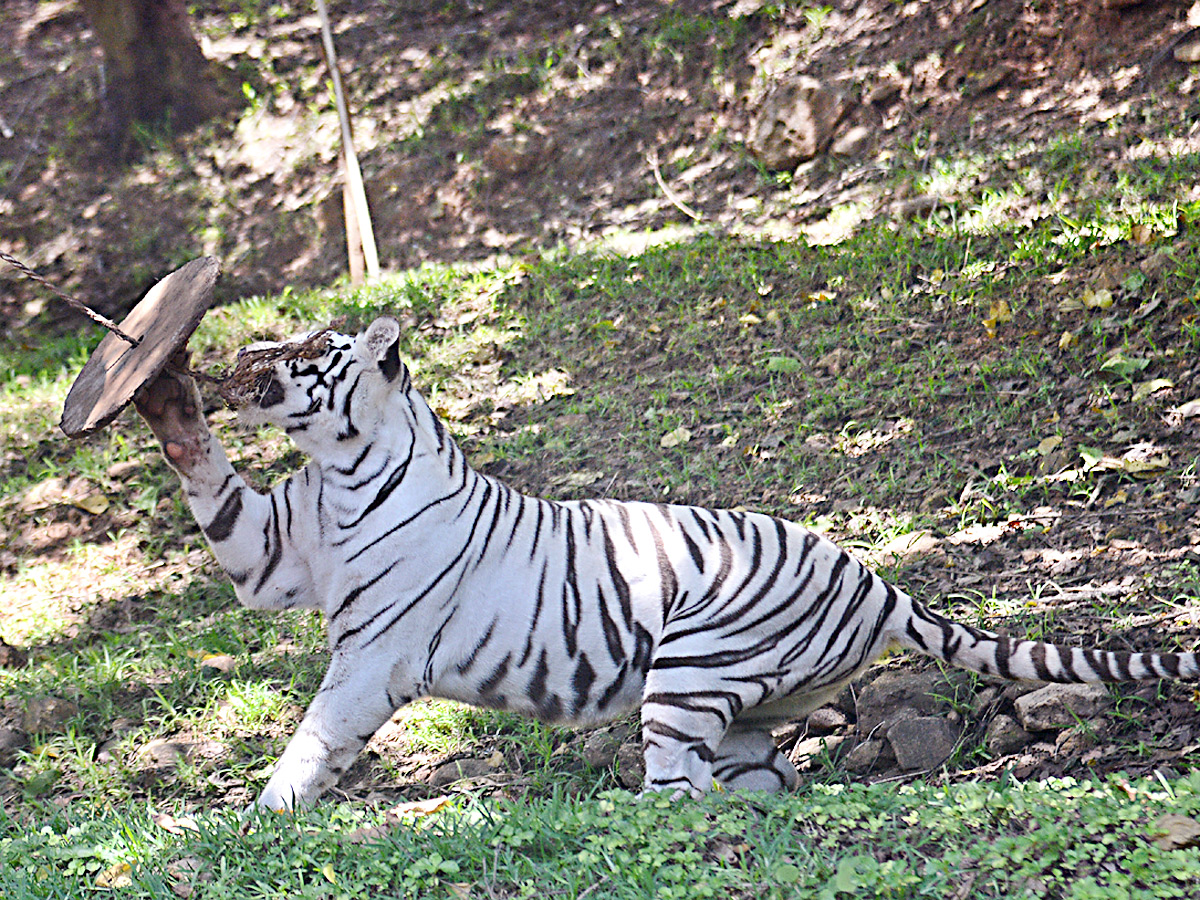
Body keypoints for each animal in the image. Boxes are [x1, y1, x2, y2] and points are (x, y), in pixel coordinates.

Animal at [136, 316, 1200, 811]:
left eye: (315, 348)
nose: (244, 353)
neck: (340, 470)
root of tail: (874, 579)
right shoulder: (272, 551)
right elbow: (211, 478)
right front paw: (163, 390)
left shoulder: (370, 654)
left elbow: (313, 738)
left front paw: (263, 816)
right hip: (742, 710)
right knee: (753, 787)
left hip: (689, 664)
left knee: (679, 793)